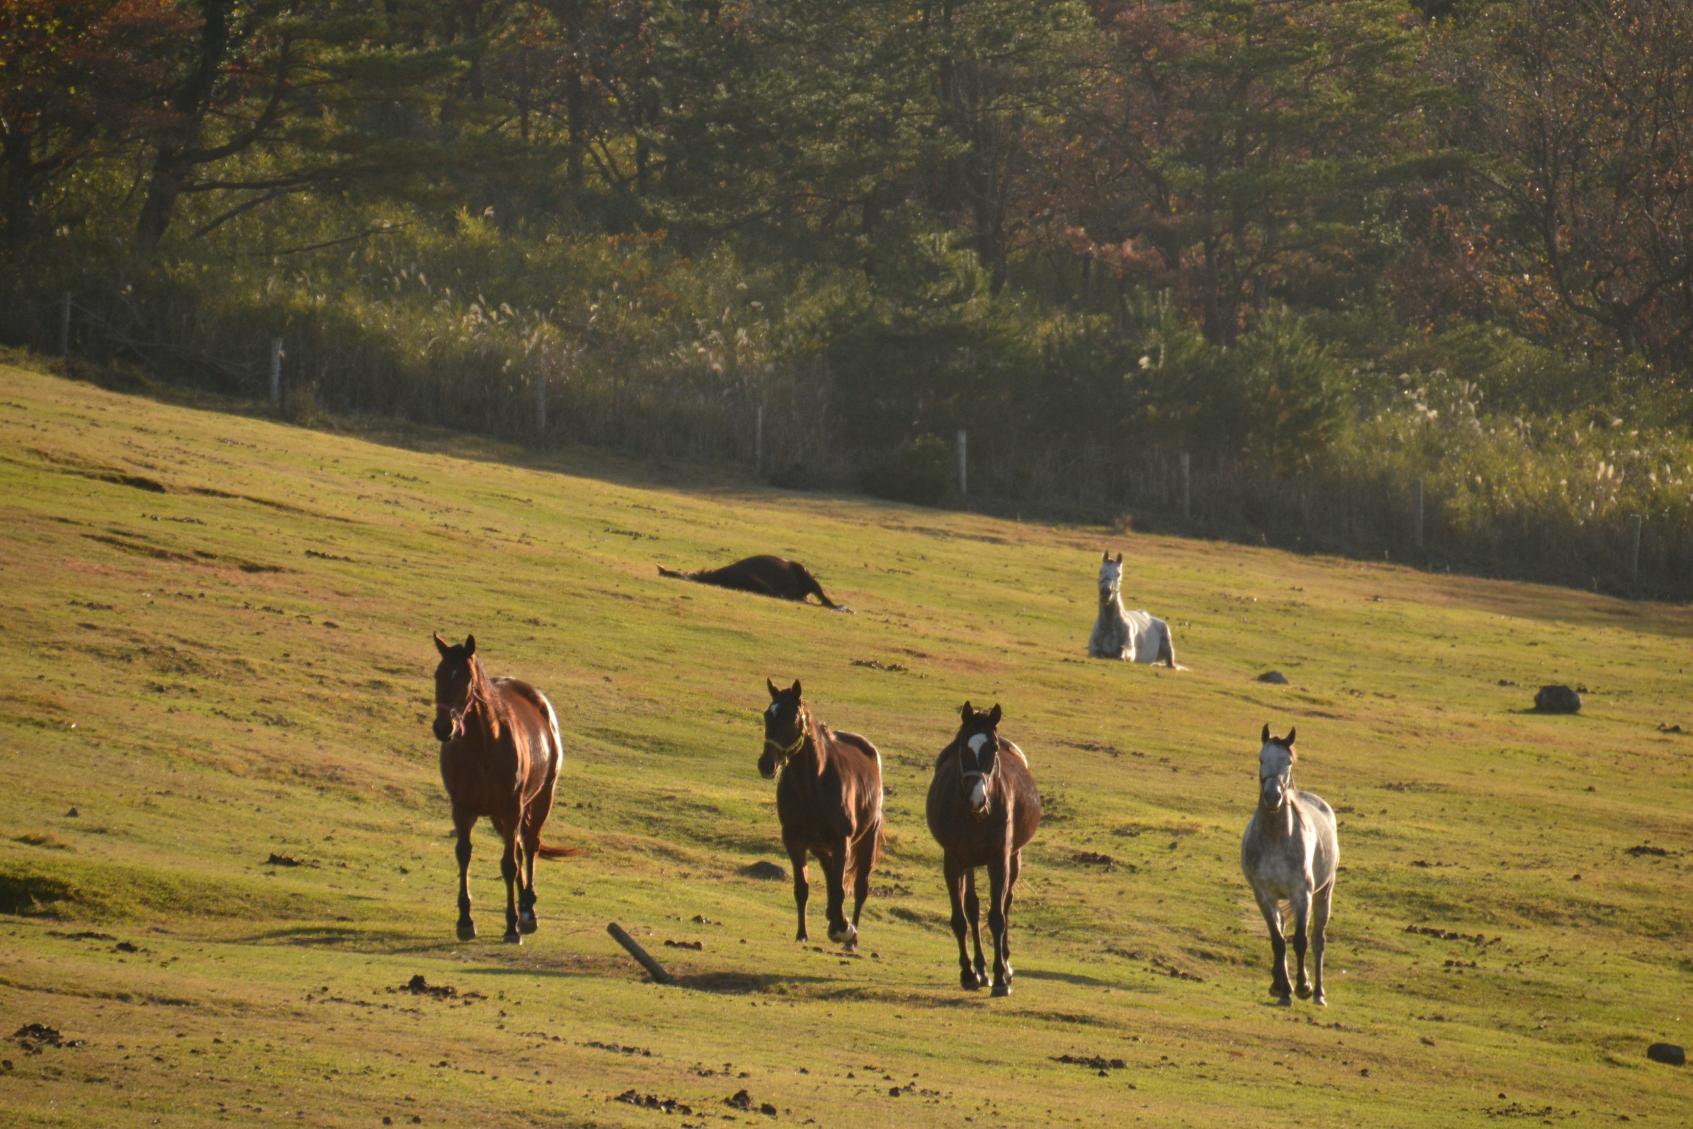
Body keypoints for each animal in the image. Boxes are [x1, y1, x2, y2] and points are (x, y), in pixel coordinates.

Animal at [758, 680, 887, 954]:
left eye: (793, 717)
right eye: (767, 714)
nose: (766, 765)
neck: (813, 785)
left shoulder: (842, 840)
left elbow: (840, 889)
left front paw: (843, 929)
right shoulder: (794, 840)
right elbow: (802, 888)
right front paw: (802, 933)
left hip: (865, 839)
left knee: (859, 888)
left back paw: (851, 937)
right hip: (820, 845)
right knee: (831, 874)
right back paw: (835, 919)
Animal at [927, 707, 1042, 995]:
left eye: (994, 747)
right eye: (962, 747)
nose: (977, 799)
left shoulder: (999, 859)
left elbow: (997, 916)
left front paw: (1001, 977)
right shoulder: (953, 861)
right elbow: (960, 918)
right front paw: (969, 973)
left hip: (1014, 857)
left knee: (1006, 903)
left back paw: (1005, 966)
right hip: (968, 863)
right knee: (972, 906)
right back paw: (980, 970)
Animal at [1239, 724, 1340, 1008]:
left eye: (1289, 762)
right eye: (1261, 759)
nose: (1272, 796)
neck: (1276, 837)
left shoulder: (1301, 894)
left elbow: (1301, 941)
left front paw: (1304, 986)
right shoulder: (1264, 896)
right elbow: (1278, 942)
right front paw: (1284, 990)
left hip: (1324, 892)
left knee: (1318, 939)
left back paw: (1318, 993)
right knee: (1282, 931)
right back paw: (1278, 984)